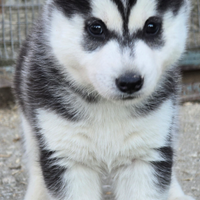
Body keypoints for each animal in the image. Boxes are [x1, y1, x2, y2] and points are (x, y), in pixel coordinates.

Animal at [14, 0, 195, 199]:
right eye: (96, 28)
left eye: (151, 26)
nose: (130, 82)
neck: (108, 106)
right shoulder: (66, 154)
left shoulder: (145, 153)